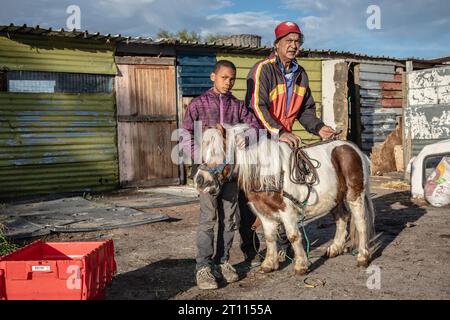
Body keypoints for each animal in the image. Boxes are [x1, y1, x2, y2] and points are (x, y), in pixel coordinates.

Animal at [195, 124, 374, 274]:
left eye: (217, 152)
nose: (200, 180)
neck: (267, 175)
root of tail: (354, 149)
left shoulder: (287, 212)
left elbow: (293, 236)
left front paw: (301, 265)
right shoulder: (264, 213)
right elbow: (269, 237)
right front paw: (269, 264)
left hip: (355, 195)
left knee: (361, 223)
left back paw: (363, 257)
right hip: (334, 198)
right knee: (342, 217)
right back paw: (335, 248)